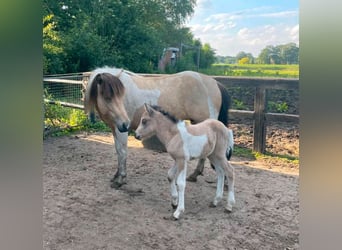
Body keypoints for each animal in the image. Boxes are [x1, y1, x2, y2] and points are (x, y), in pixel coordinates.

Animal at [84, 66, 231, 188]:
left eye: (120, 96)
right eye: (107, 98)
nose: (126, 123)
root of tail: (215, 83)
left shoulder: (121, 130)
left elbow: (122, 152)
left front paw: (120, 179)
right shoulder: (116, 128)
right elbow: (118, 151)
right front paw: (116, 176)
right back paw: (194, 175)